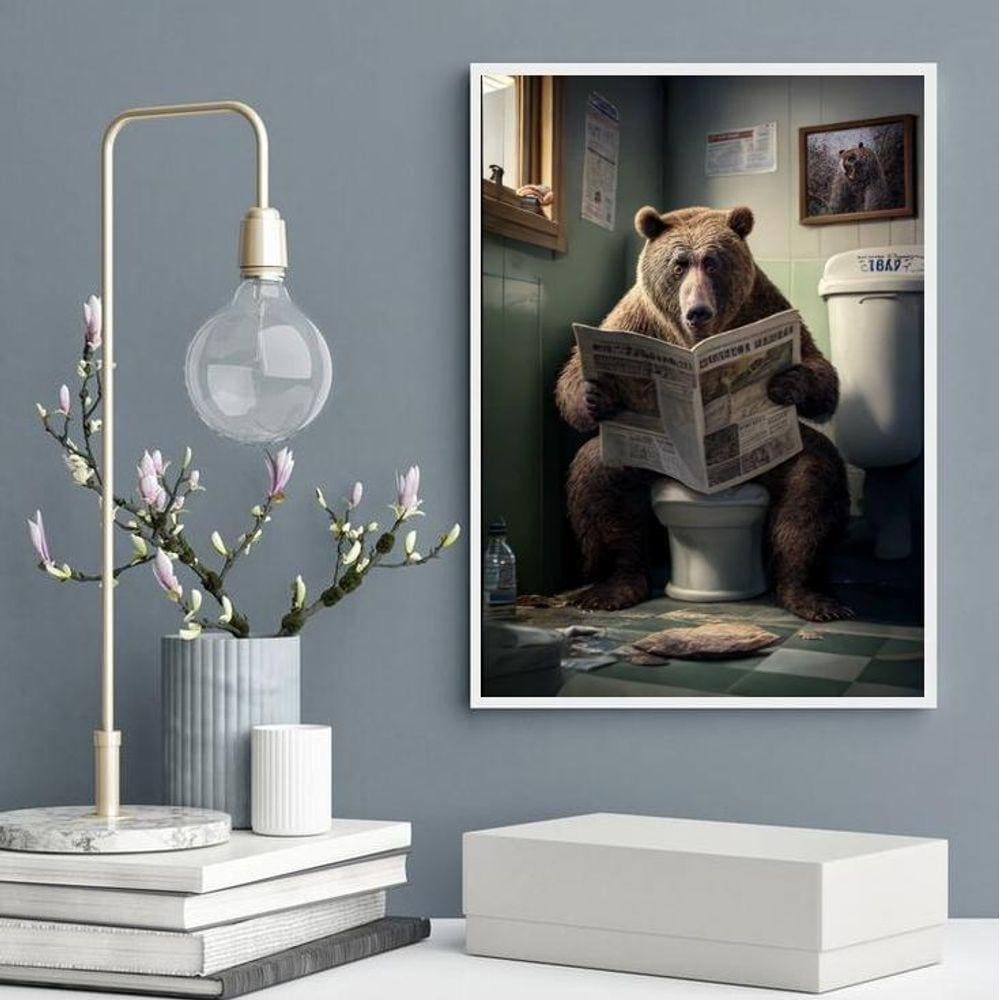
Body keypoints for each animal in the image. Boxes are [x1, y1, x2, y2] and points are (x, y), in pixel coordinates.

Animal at [554, 204, 852, 622]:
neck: (695, 339)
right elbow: (572, 379)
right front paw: (594, 393)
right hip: (645, 462)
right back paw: (611, 587)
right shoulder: (636, 320)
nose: (697, 311)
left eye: (711, 261)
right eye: (679, 264)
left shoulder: (764, 307)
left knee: (812, 483)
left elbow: (817, 367)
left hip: (771, 464)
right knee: (597, 481)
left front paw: (788, 381)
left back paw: (808, 593)